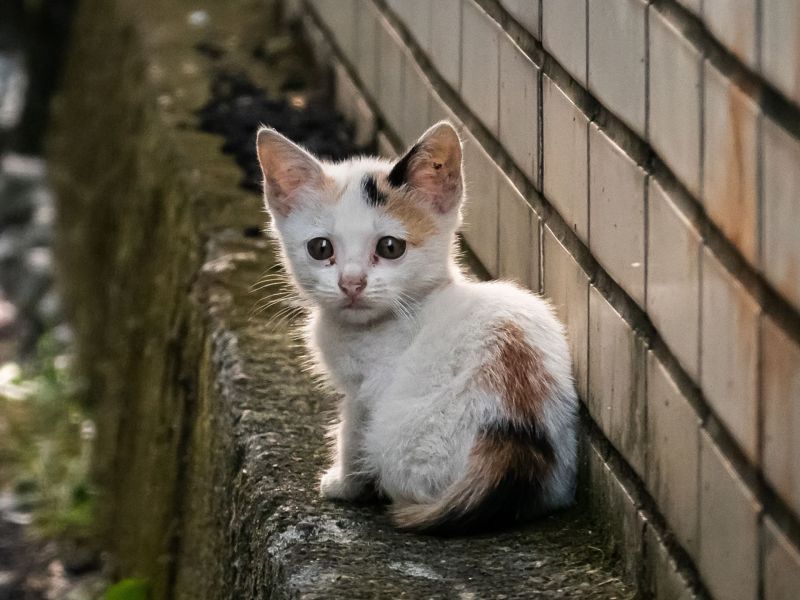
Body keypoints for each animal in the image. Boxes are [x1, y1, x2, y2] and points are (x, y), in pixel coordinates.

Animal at [255, 122, 576, 536]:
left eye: (390, 247)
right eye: (320, 248)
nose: (351, 283)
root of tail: (513, 442)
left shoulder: (366, 391)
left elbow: (351, 431)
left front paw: (343, 483)